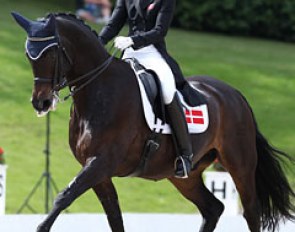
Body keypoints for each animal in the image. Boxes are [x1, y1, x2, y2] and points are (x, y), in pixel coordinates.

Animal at [12, 12, 295, 232]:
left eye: (51, 54)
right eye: (29, 55)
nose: (41, 103)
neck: (99, 90)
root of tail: (235, 94)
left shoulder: (101, 163)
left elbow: (62, 198)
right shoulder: (97, 170)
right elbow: (114, 216)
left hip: (240, 164)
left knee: (251, 212)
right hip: (184, 176)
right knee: (213, 208)